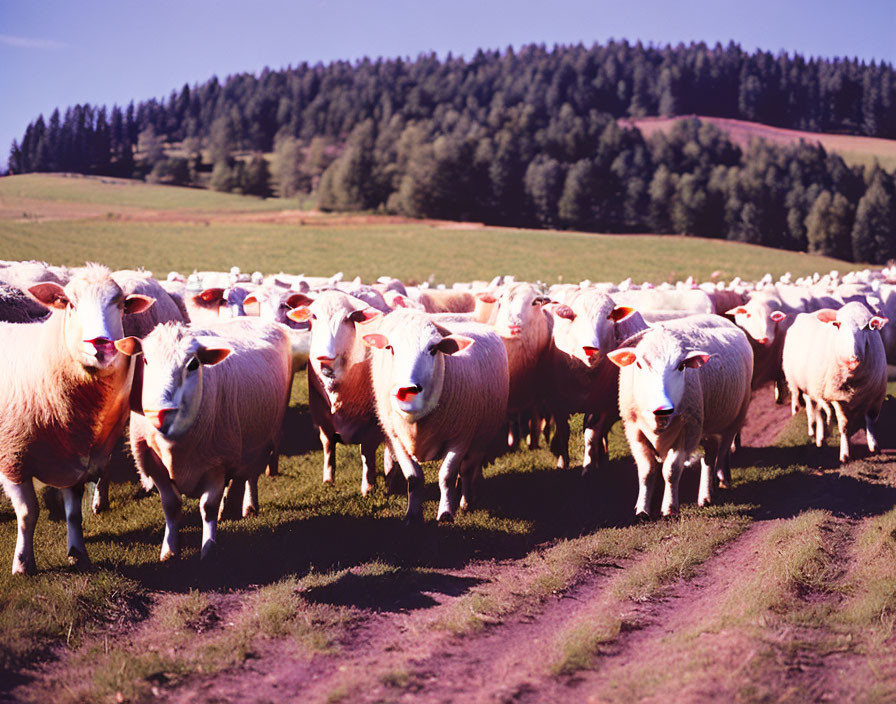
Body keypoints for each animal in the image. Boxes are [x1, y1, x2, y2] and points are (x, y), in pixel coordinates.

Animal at [0, 262, 153, 572]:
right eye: (69, 303)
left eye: (121, 305)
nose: (101, 344)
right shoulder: (13, 457)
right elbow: (28, 513)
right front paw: (23, 564)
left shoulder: (76, 458)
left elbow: (73, 513)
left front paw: (78, 553)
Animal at [115, 320, 290, 560]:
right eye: (145, 360)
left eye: (193, 364)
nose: (159, 414)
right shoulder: (152, 462)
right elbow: (171, 506)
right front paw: (169, 551)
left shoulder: (217, 463)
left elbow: (208, 507)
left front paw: (208, 548)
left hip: (264, 440)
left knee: (251, 474)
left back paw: (249, 506)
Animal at [360, 310, 508, 524]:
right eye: (390, 348)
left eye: (433, 349)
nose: (407, 390)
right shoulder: (396, 438)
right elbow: (414, 478)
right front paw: (412, 516)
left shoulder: (461, 437)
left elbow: (446, 476)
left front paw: (446, 513)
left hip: (480, 438)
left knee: (467, 469)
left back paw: (466, 501)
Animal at [608, 318, 756, 516]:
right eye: (639, 365)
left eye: (681, 366)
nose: (662, 409)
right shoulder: (634, 431)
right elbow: (647, 471)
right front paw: (642, 509)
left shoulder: (688, 430)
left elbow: (671, 471)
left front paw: (670, 508)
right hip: (706, 424)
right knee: (710, 454)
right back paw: (705, 496)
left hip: (735, 418)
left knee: (720, 453)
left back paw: (717, 484)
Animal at [780, 302, 884, 462]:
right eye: (837, 325)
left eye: (867, 327)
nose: (851, 360)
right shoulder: (838, 397)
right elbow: (844, 425)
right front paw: (844, 454)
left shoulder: (875, 394)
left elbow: (871, 420)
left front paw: (873, 445)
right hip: (801, 384)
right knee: (813, 410)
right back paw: (816, 435)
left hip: (814, 388)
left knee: (818, 410)